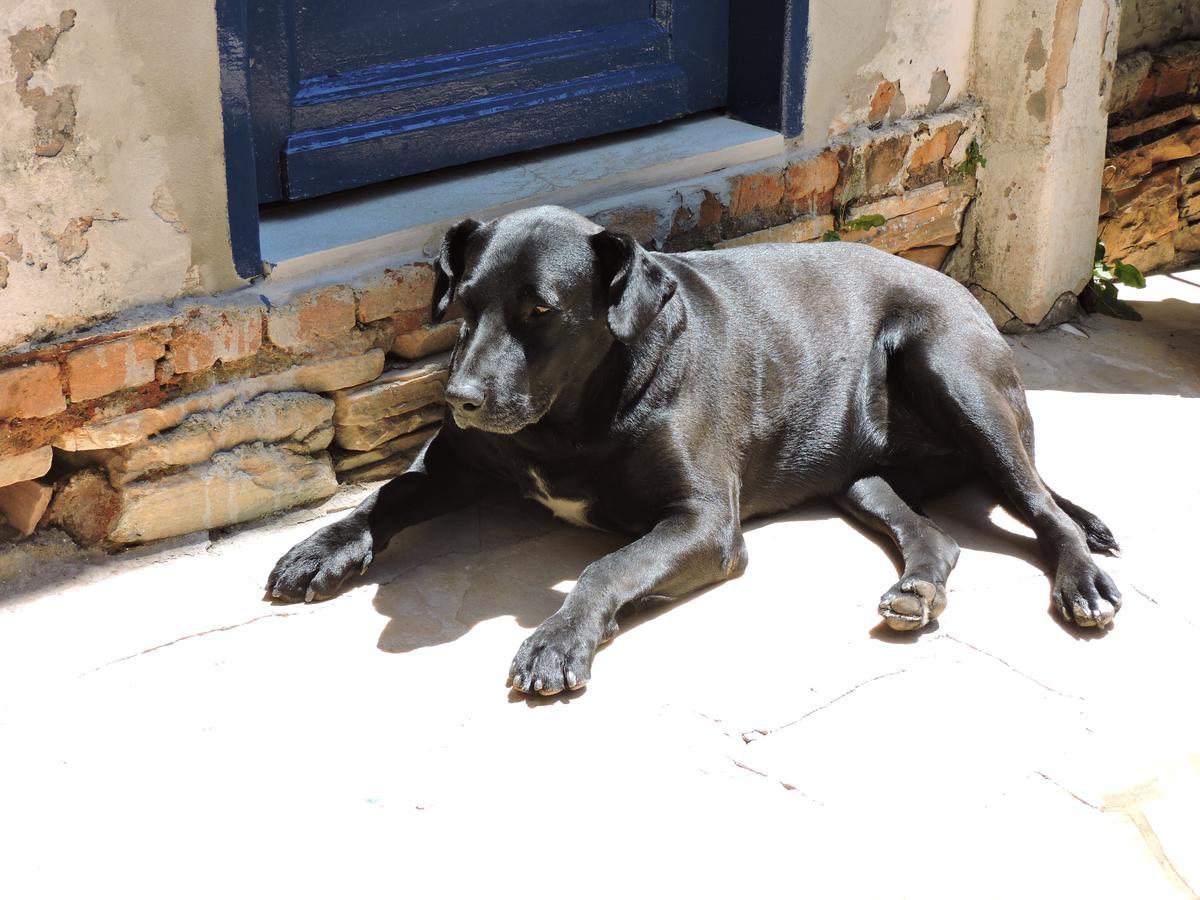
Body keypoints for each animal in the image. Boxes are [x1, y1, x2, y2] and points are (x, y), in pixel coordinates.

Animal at [267, 206, 1118, 696]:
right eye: (465, 304)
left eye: (540, 310)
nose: (461, 399)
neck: (569, 415)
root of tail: (958, 289)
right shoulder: (455, 462)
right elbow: (386, 496)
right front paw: (321, 549)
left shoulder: (705, 523)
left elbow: (608, 566)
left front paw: (558, 639)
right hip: (863, 478)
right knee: (935, 536)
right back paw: (916, 589)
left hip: (955, 373)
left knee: (1044, 508)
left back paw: (1082, 582)